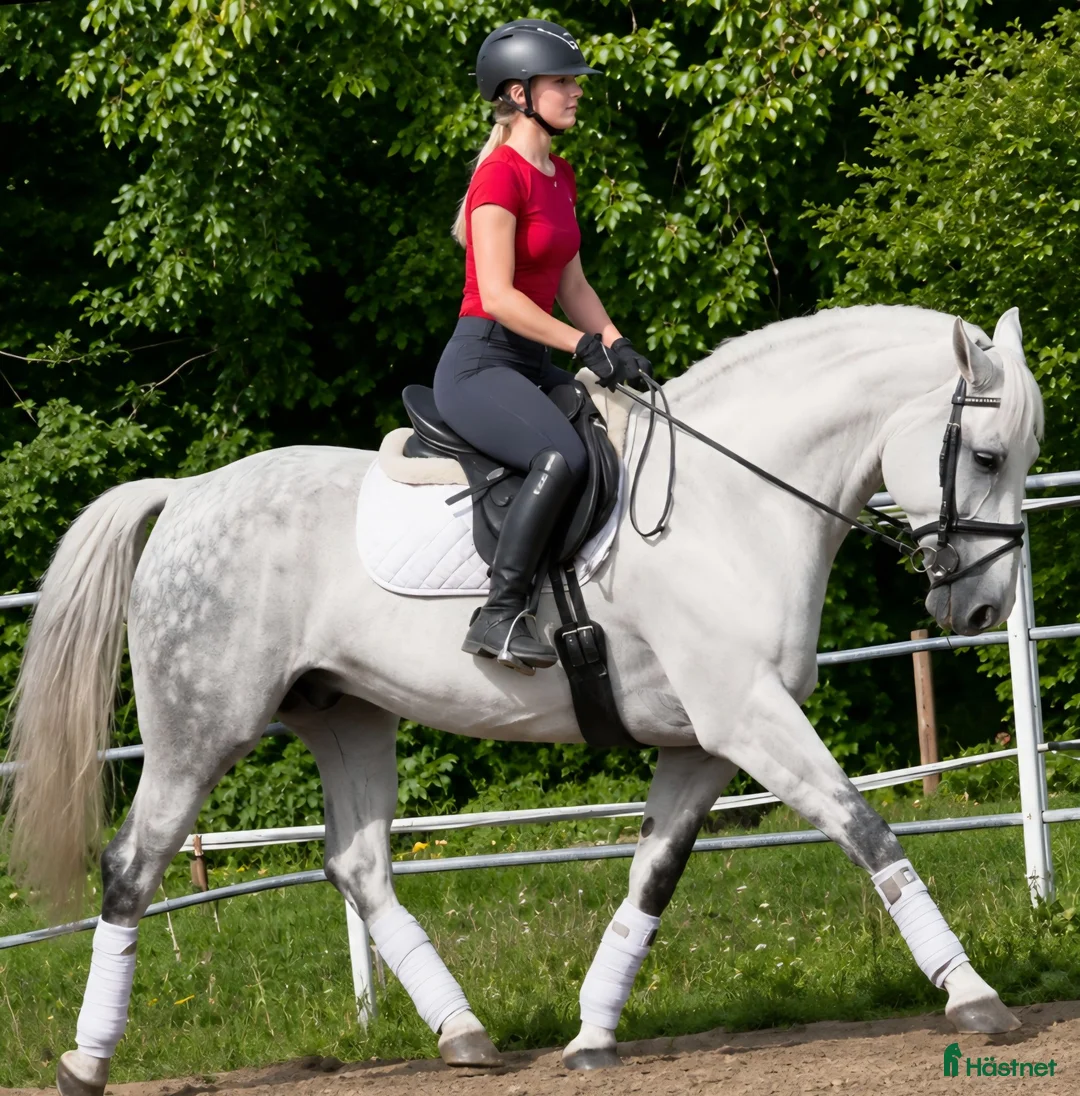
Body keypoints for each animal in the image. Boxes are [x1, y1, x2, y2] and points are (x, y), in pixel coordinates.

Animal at [3, 304, 1043, 1093]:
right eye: (989, 457)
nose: (982, 608)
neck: (732, 504)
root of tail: (185, 494)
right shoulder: (748, 716)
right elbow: (866, 828)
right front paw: (972, 994)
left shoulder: (701, 743)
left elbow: (652, 876)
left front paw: (591, 1035)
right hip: (200, 729)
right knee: (133, 866)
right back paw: (87, 1062)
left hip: (347, 716)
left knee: (358, 865)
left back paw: (465, 1035)